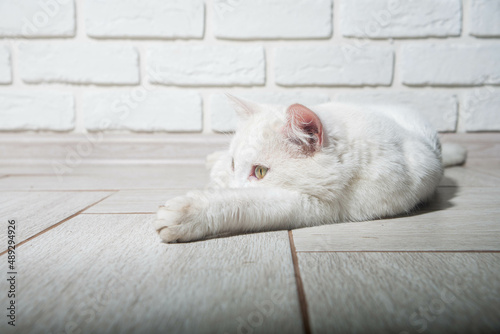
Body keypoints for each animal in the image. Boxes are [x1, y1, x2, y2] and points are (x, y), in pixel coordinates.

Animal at [154, 95, 466, 241]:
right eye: (235, 164)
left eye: (260, 172)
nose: (228, 173)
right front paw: (218, 175)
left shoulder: (322, 206)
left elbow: (247, 202)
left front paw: (188, 213)